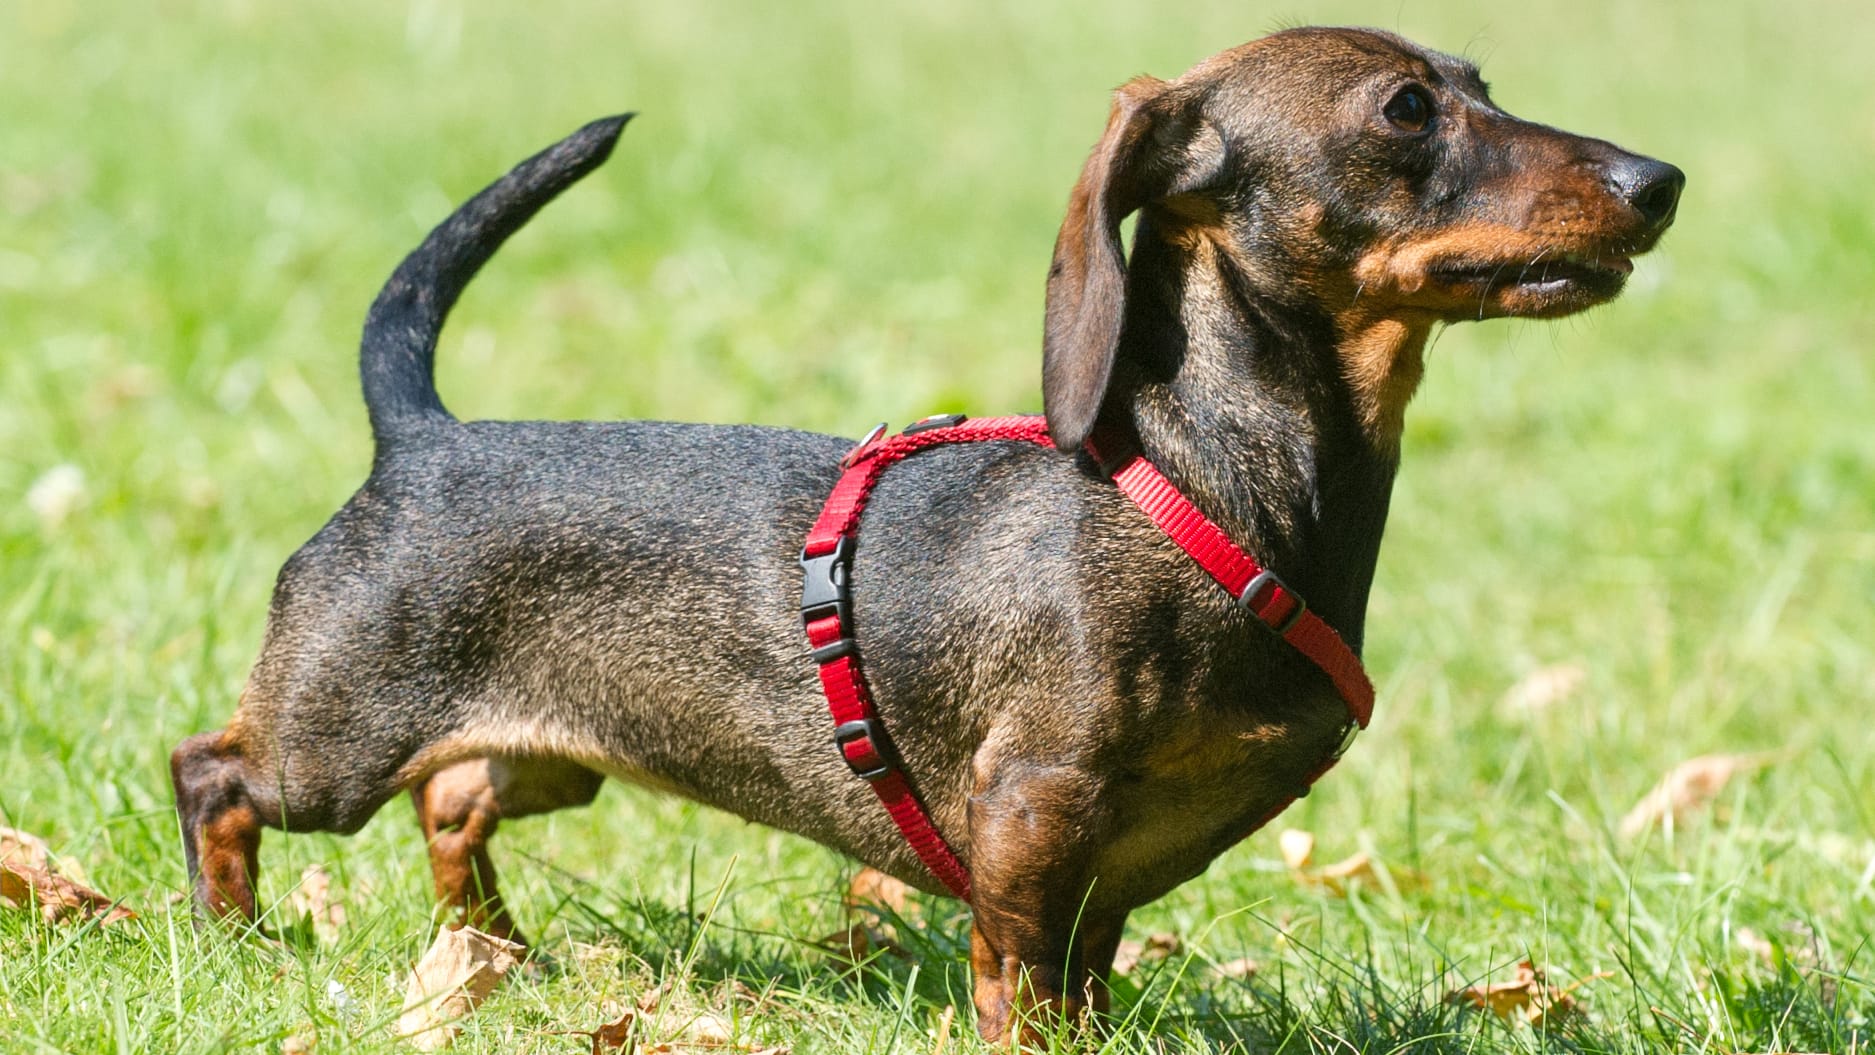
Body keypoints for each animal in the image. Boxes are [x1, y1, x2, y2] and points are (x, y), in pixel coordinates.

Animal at [172, 24, 1687, 1049]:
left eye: (1481, 81)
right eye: (1405, 108)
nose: (1657, 176)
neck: (1201, 476)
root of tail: (420, 429)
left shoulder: (1101, 874)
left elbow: (1085, 975)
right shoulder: (1036, 810)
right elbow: (1021, 988)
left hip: (554, 757)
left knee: (456, 805)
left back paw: (489, 951)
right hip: (329, 746)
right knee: (214, 773)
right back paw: (238, 939)